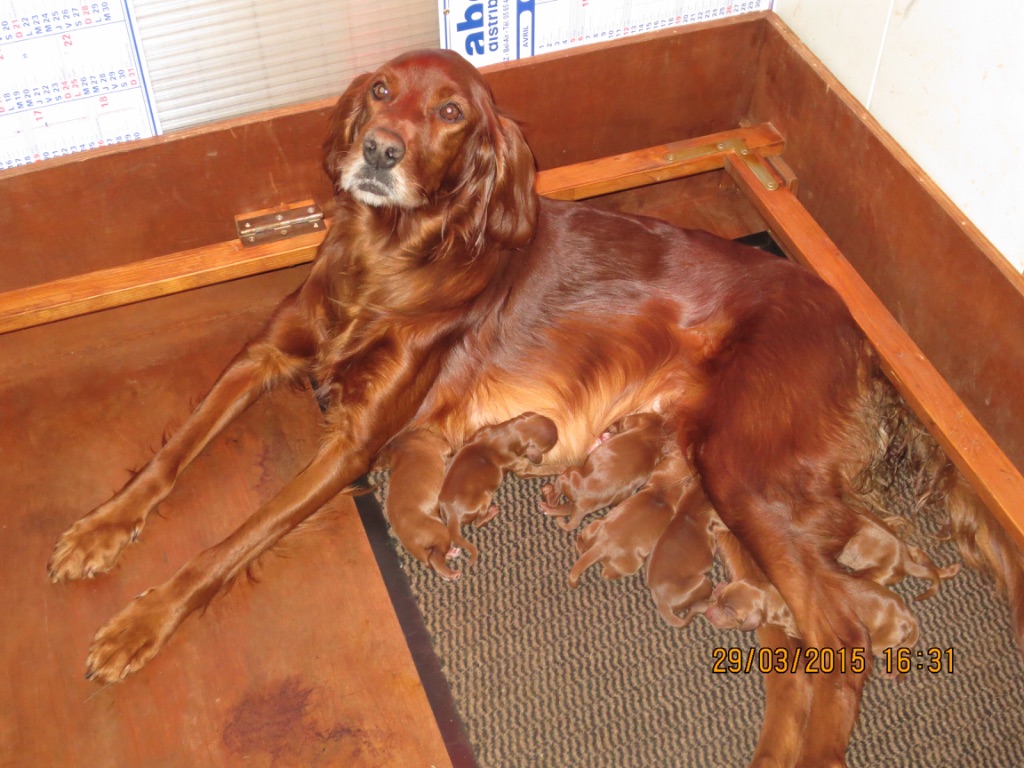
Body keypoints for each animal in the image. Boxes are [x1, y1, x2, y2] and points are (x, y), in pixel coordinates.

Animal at [436, 411, 557, 569]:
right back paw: (492, 512)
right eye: (552, 444)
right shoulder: (521, 467)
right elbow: (545, 469)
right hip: (485, 497)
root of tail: (452, 516)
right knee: (477, 523)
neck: (505, 433)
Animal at [569, 450, 688, 589]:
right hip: (632, 564)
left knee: (581, 539)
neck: (663, 489)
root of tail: (600, 547)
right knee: (607, 574)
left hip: (592, 525)